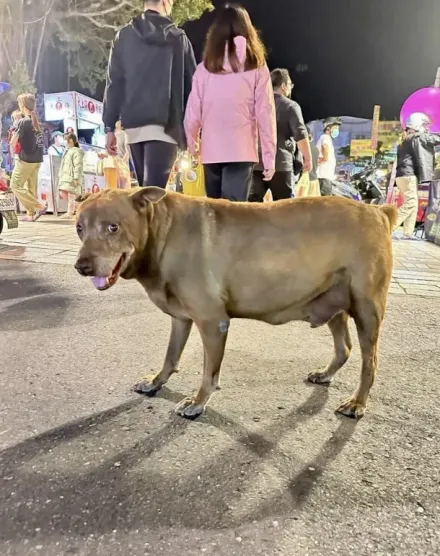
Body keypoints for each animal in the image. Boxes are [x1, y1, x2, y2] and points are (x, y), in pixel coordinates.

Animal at [74, 189, 398, 420]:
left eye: (113, 227)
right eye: (79, 228)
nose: (82, 267)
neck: (161, 232)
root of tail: (378, 211)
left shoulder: (212, 322)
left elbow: (209, 372)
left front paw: (198, 401)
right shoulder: (181, 319)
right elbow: (170, 356)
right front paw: (157, 381)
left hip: (367, 309)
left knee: (370, 361)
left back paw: (357, 402)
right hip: (332, 300)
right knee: (344, 348)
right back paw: (326, 374)